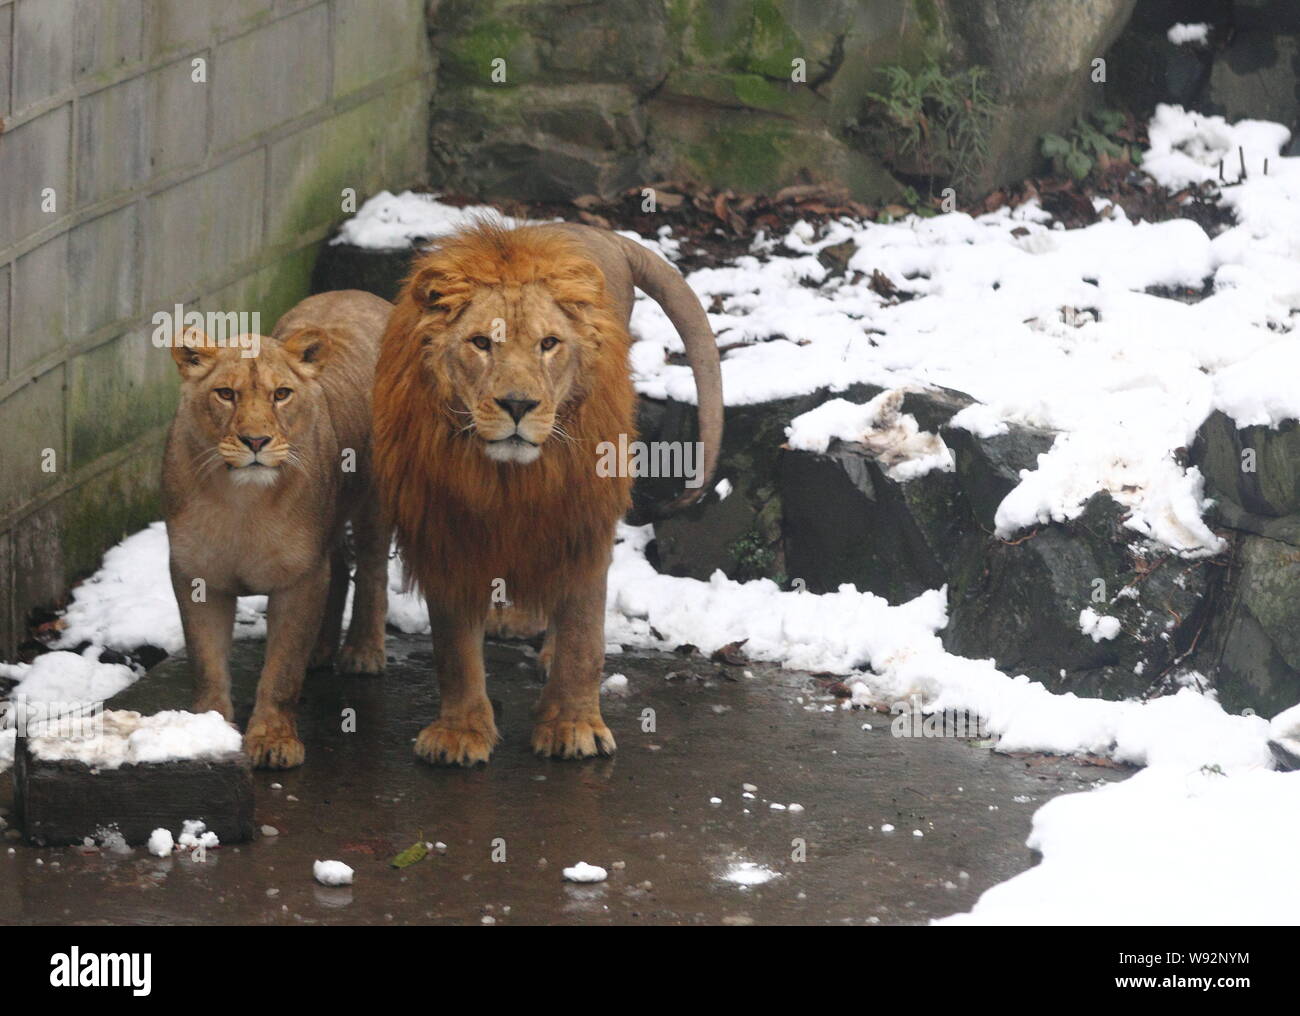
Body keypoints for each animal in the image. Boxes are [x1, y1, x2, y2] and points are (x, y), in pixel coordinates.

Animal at [163, 290, 392, 769]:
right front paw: (208, 728)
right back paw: (320, 651)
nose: (255, 441)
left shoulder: (299, 580)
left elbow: (282, 671)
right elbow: (206, 661)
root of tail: (360, 293)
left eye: (281, 394)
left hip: (376, 500)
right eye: (226, 394)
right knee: (339, 566)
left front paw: (274, 739)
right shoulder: (197, 575)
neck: (242, 502)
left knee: (372, 568)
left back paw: (362, 652)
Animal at [373, 221, 723, 765]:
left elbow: (582, 637)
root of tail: (599, 231)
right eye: (481, 343)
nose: (518, 405)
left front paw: (573, 728)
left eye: (549, 344)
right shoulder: (446, 526)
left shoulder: (580, 513)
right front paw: (459, 732)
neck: (506, 477)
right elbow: (453, 650)